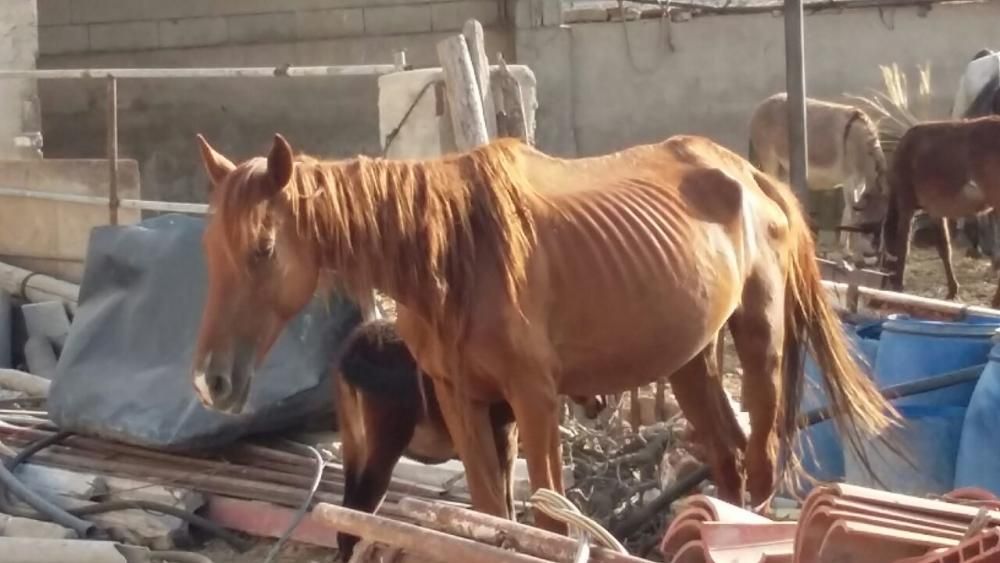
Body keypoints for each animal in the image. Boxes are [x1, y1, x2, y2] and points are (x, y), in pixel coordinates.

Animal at [189, 131, 900, 532]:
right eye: (209, 250)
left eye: (262, 250)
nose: (209, 380)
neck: (456, 250)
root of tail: (754, 178)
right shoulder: (464, 402)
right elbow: (493, 516)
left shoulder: (533, 400)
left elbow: (549, 520)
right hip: (689, 358)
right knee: (726, 460)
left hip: (758, 343)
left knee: (759, 465)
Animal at [848, 116, 1000, 306]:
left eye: (881, 252)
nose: (884, 280)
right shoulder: (935, 211)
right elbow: (944, 249)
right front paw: (952, 290)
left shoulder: (906, 202)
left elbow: (903, 243)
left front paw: (898, 283)